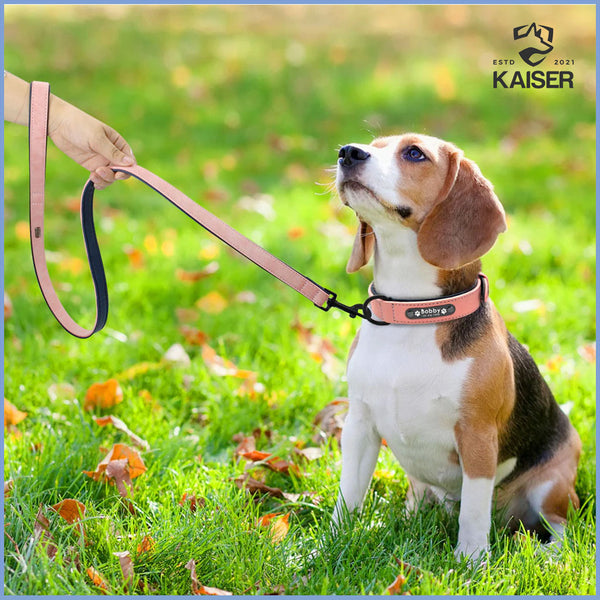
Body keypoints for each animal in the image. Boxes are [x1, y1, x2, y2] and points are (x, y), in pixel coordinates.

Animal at [332, 134, 580, 560]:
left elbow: (474, 513)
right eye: (373, 144)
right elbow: (348, 496)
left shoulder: (477, 437)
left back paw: (547, 555)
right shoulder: (360, 425)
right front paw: (327, 547)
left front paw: (471, 562)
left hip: (554, 483)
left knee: (559, 525)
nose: (348, 152)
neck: (412, 312)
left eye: (414, 153)